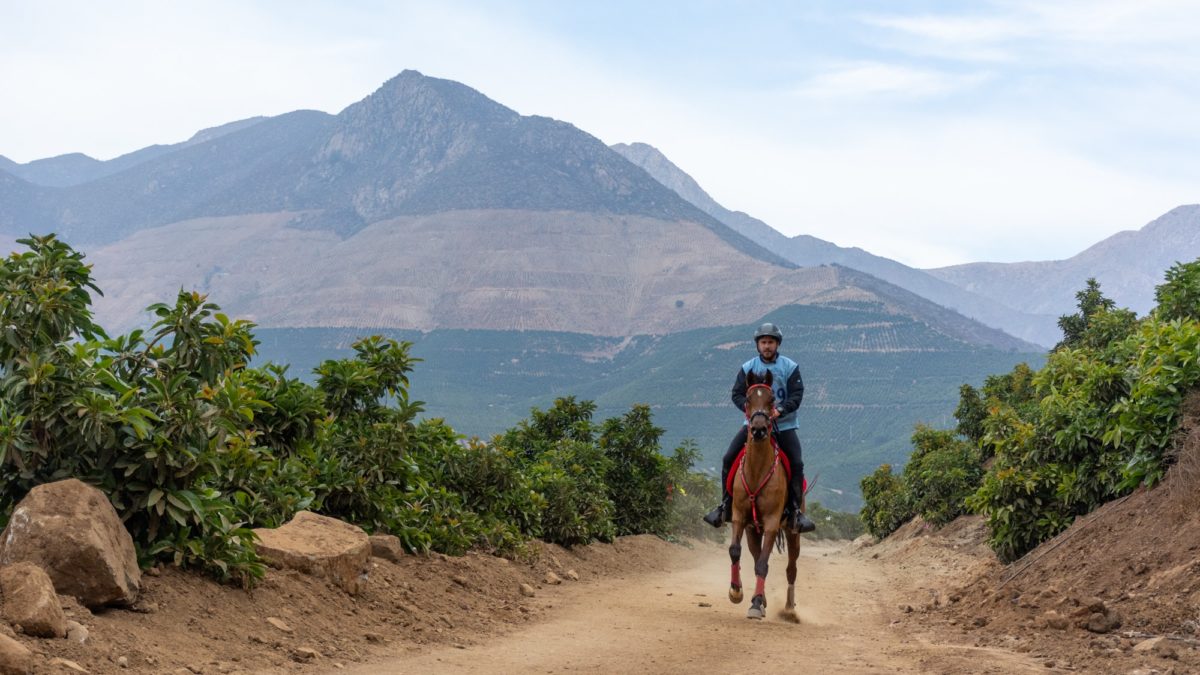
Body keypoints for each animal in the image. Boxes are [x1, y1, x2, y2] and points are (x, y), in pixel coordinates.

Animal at [724, 369, 801, 619]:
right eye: (748, 399)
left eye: (772, 399)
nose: (758, 429)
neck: (757, 470)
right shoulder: (739, 517)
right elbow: (735, 551)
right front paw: (736, 592)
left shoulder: (771, 522)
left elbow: (763, 564)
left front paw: (756, 604)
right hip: (752, 530)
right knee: (755, 553)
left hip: (792, 532)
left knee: (791, 568)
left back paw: (789, 608)